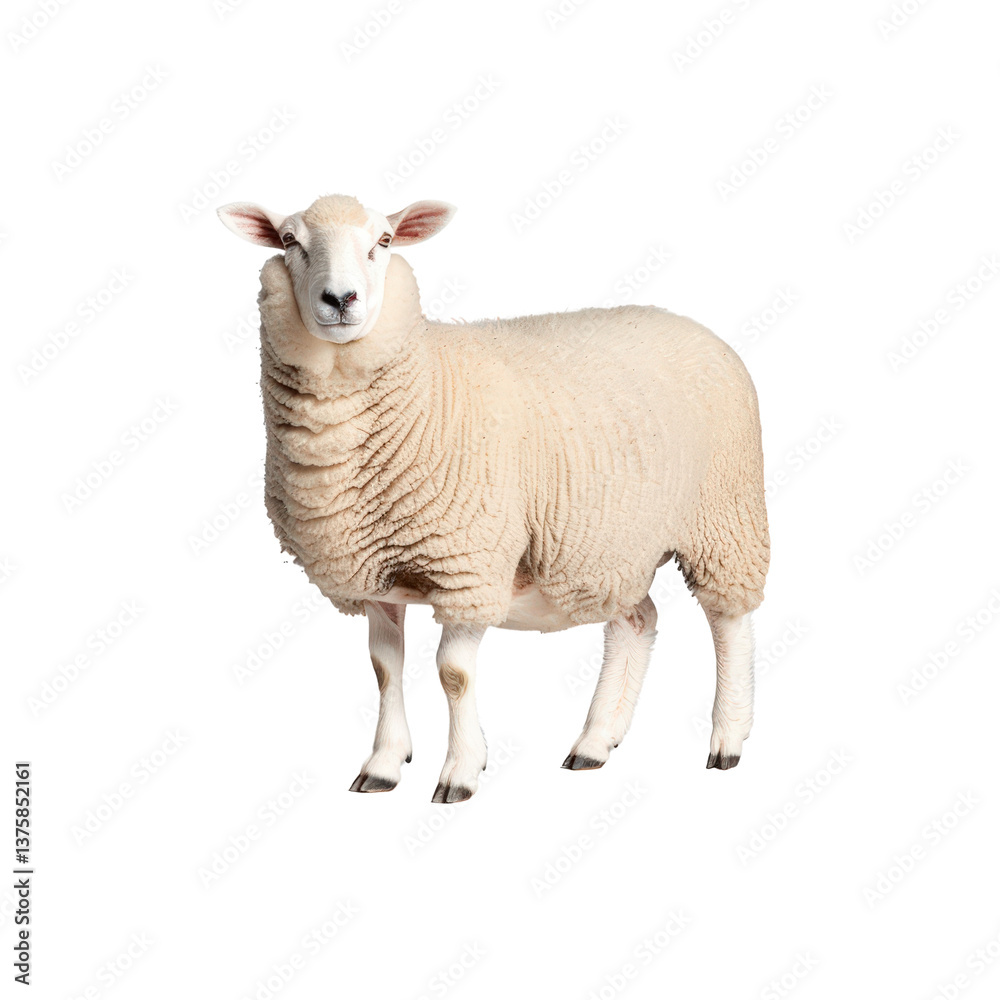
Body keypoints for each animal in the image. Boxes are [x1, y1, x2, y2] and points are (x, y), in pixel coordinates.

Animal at [217, 194, 770, 802]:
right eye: (289, 241)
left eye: (384, 240)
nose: (341, 299)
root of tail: (692, 323)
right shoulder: (373, 574)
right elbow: (384, 668)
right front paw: (383, 765)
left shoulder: (469, 567)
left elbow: (453, 673)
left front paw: (461, 771)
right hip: (612, 544)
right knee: (636, 621)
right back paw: (595, 743)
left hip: (725, 514)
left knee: (728, 622)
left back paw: (727, 739)